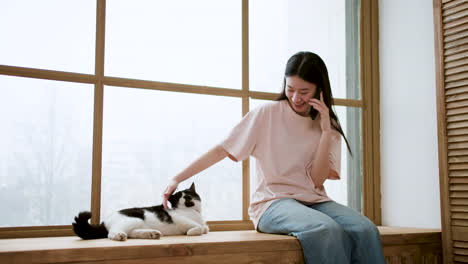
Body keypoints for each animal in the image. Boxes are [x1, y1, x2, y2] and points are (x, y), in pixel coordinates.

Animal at [72, 184, 208, 241]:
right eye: (179, 197)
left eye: (189, 194)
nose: (186, 197)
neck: (193, 212)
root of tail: (104, 221)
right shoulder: (179, 219)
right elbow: (199, 227)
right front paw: (191, 232)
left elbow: (205, 228)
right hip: (133, 219)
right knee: (111, 234)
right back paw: (119, 236)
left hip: (135, 224)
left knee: (132, 233)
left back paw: (151, 234)